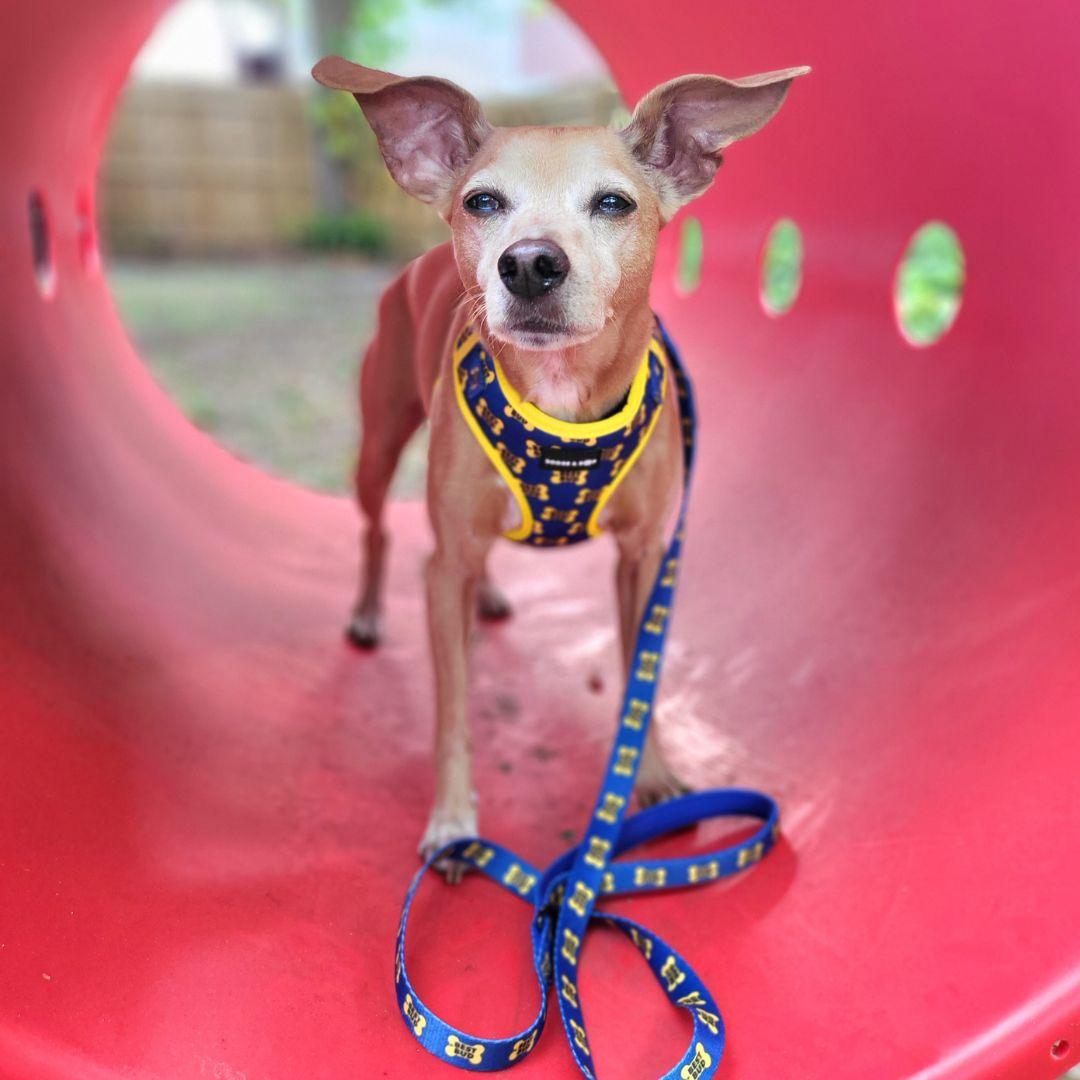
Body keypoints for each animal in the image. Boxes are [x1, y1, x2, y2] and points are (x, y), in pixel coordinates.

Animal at [308, 54, 807, 876]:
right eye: (482, 201)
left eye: (613, 203)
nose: (530, 262)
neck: (561, 411)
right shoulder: (443, 567)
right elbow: (452, 710)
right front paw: (453, 821)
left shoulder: (644, 557)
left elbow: (642, 674)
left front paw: (654, 778)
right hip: (378, 446)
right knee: (378, 529)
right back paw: (369, 610)